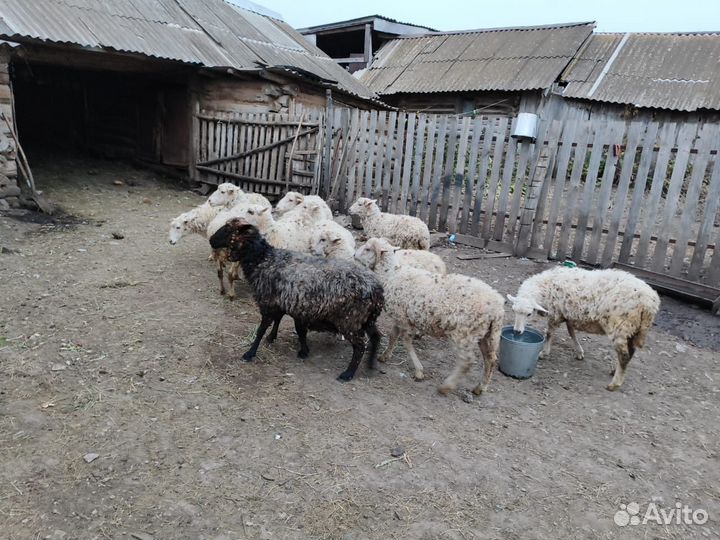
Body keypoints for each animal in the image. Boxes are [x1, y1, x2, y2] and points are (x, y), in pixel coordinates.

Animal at [209, 219, 384, 381]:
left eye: (228, 228)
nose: (211, 240)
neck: (263, 259)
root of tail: (377, 289)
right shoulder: (282, 303)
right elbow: (285, 323)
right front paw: (280, 341)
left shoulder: (268, 303)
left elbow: (261, 330)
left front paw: (250, 353)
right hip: (366, 319)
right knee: (376, 336)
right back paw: (370, 364)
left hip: (350, 320)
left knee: (360, 345)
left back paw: (348, 374)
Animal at [354, 237, 504, 396]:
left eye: (368, 249)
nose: (354, 254)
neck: (391, 275)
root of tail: (497, 309)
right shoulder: (399, 315)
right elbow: (393, 335)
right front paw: (385, 355)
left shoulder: (403, 319)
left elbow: (406, 342)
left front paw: (419, 371)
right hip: (487, 335)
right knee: (490, 358)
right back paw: (480, 387)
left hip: (463, 334)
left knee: (467, 361)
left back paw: (447, 386)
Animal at [507, 266, 661, 391]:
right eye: (514, 311)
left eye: (529, 313)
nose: (517, 332)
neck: (546, 288)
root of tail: (650, 303)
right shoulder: (567, 314)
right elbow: (571, 332)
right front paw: (579, 352)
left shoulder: (555, 313)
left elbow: (549, 333)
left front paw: (544, 353)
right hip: (633, 329)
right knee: (630, 352)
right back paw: (615, 371)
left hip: (621, 326)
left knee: (624, 355)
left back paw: (614, 383)